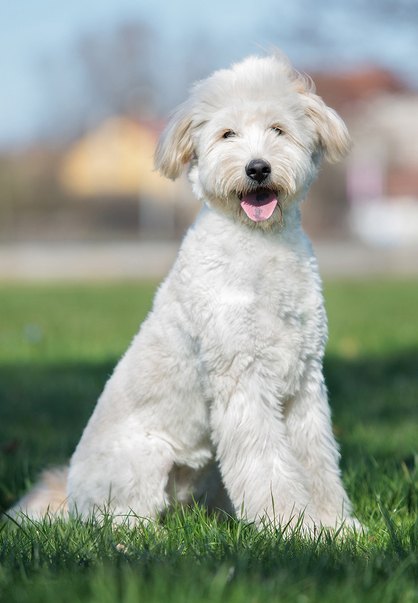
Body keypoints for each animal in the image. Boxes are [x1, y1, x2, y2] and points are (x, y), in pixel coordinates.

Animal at [11, 53, 360, 532]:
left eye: (278, 129)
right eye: (227, 134)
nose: (257, 168)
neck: (260, 245)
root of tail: (69, 494)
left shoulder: (304, 381)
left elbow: (316, 460)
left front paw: (334, 527)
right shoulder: (243, 380)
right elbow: (268, 464)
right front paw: (292, 526)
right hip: (144, 458)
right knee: (119, 517)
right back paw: (143, 532)